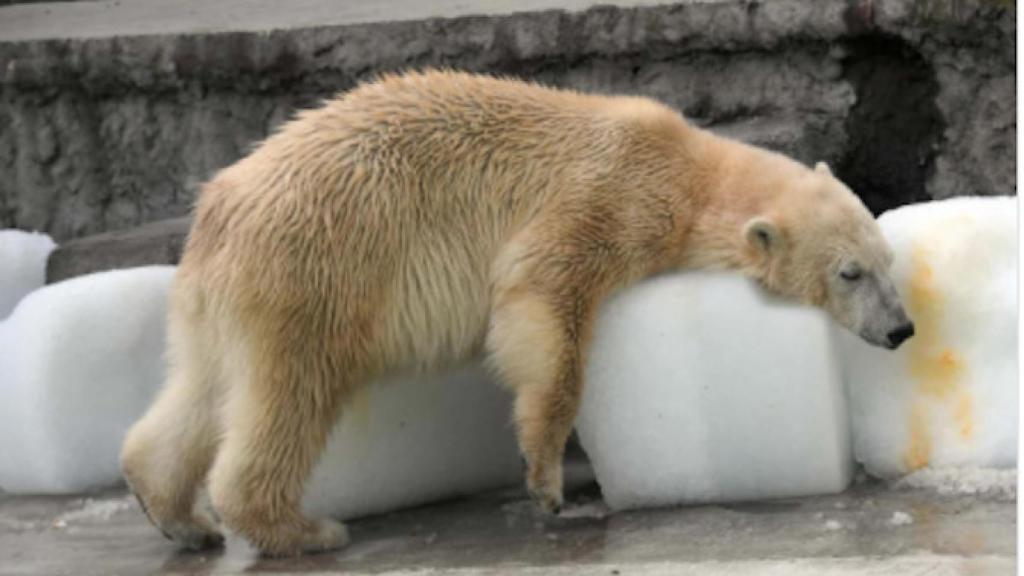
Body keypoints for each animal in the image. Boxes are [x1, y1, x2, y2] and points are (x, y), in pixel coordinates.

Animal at [121, 70, 914, 556]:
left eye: (888, 261)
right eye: (850, 273)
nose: (901, 329)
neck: (688, 171)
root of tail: (218, 209)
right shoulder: (607, 196)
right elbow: (541, 297)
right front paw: (547, 482)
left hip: (220, 300)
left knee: (202, 389)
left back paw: (175, 513)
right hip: (315, 271)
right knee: (292, 392)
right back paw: (303, 529)